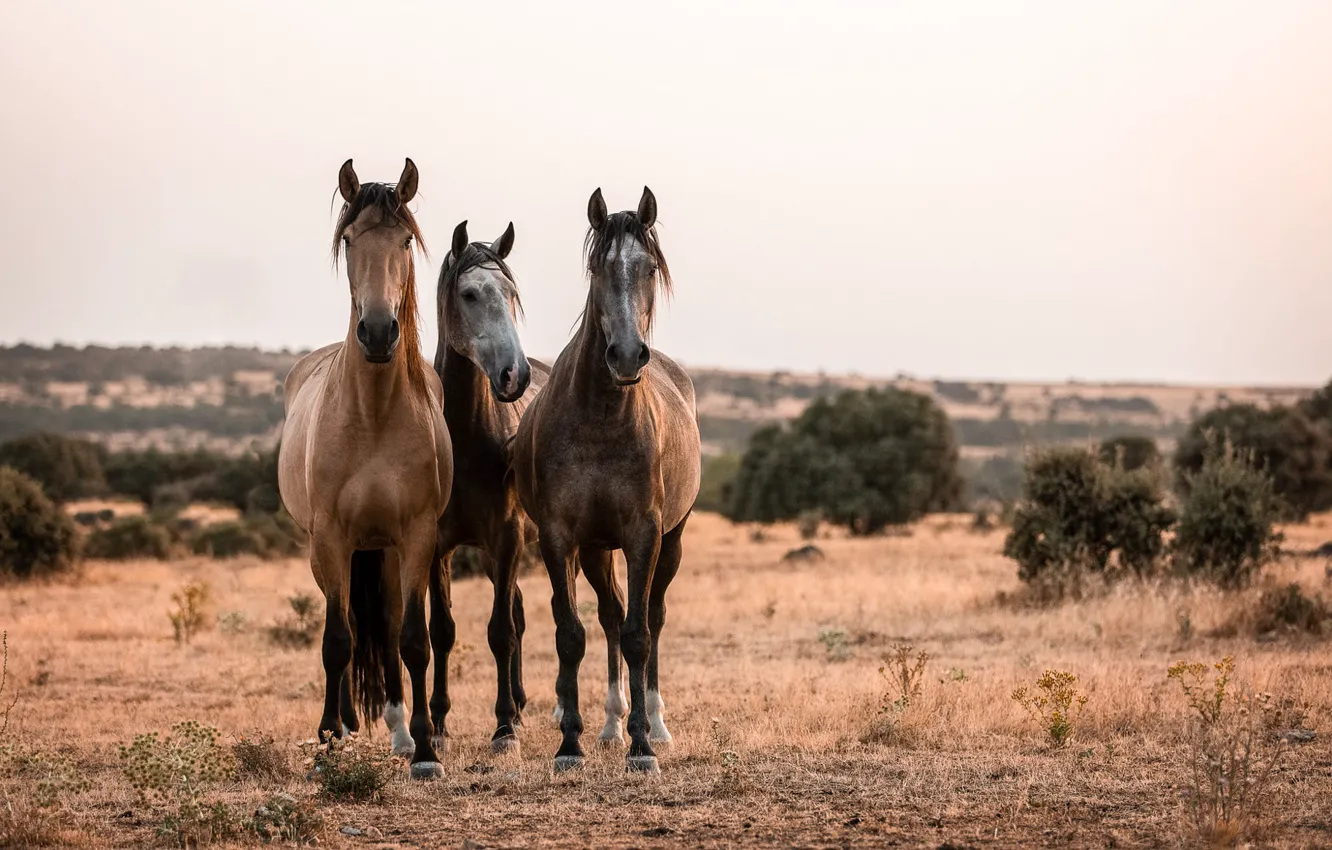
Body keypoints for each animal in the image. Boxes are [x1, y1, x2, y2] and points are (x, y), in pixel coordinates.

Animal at [277, 158, 452, 780]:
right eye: (350, 239)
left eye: (405, 241)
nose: (378, 333)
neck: (373, 413)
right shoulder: (331, 537)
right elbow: (337, 640)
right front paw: (329, 738)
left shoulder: (418, 536)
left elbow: (413, 640)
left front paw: (424, 751)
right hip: (333, 551)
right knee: (349, 625)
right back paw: (346, 726)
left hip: (389, 552)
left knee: (391, 623)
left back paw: (400, 731)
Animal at [512, 186, 701, 774]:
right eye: (598, 266)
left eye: (648, 268)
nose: (625, 355)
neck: (600, 418)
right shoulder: (560, 538)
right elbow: (571, 635)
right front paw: (569, 744)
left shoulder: (644, 534)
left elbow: (640, 635)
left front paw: (643, 749)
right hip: (597, 550)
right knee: (611, 615)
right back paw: (612, 723)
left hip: (671, 542)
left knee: (651, 618)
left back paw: (653, 724)